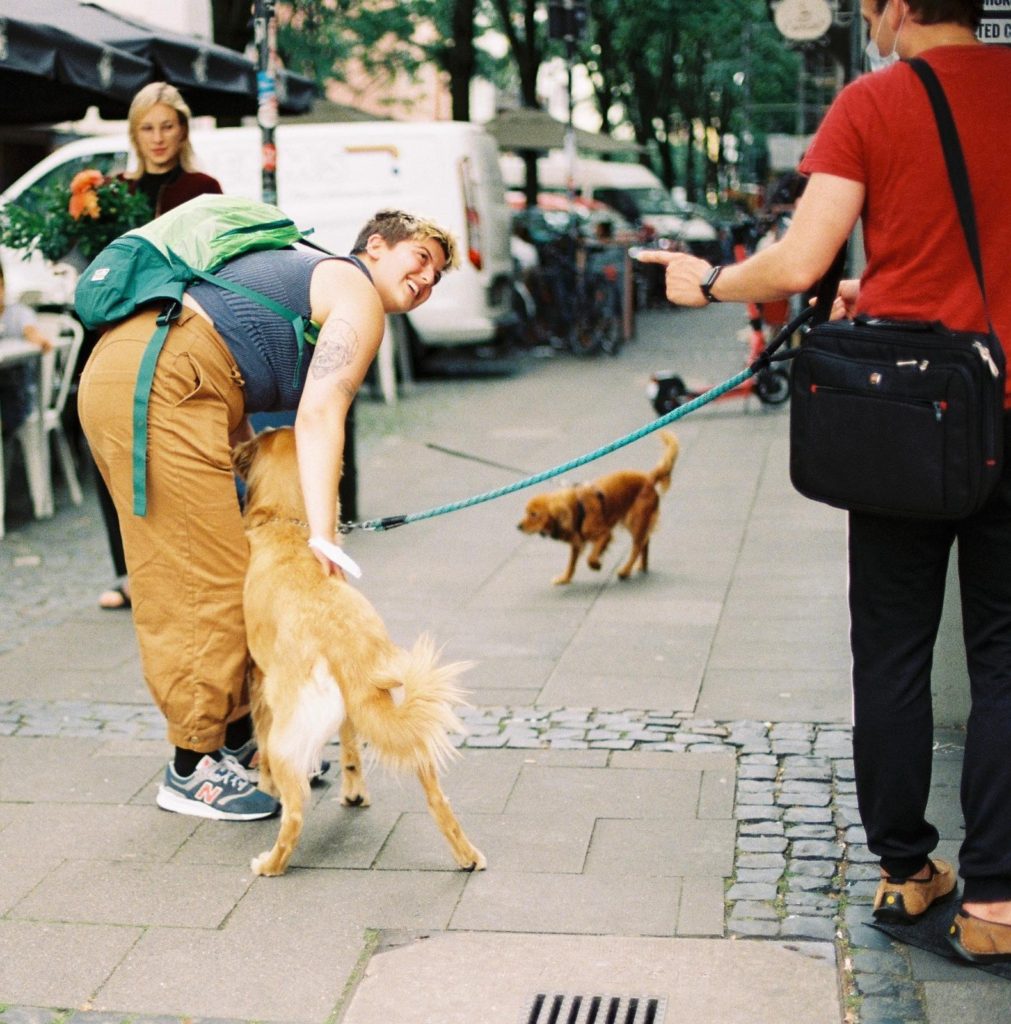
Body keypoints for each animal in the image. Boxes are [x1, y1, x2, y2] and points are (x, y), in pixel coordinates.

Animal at [231, 428, 483, 876]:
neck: (288, 525)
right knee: (438, 799)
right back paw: (467, 855)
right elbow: (350, 749)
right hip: (399, 726)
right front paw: (353, 792)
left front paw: (264, 787)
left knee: (295, 813)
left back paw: (270, 863)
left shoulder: (257, 680)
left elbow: (260, 745)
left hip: (285, 738)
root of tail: (339, 641)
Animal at [522, 430, 680, 585]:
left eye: (534, 514)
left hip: (636, 520)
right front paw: (565, 578)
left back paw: (625, 570)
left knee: (637, 546)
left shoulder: (604, 534)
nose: (518, 526)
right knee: (644, 542)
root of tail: (648, 478)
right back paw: (641, 566)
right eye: (526, 512)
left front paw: (596, 565)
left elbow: (591, 557)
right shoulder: (577, 540)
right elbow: (571, 563)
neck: (578, 507)